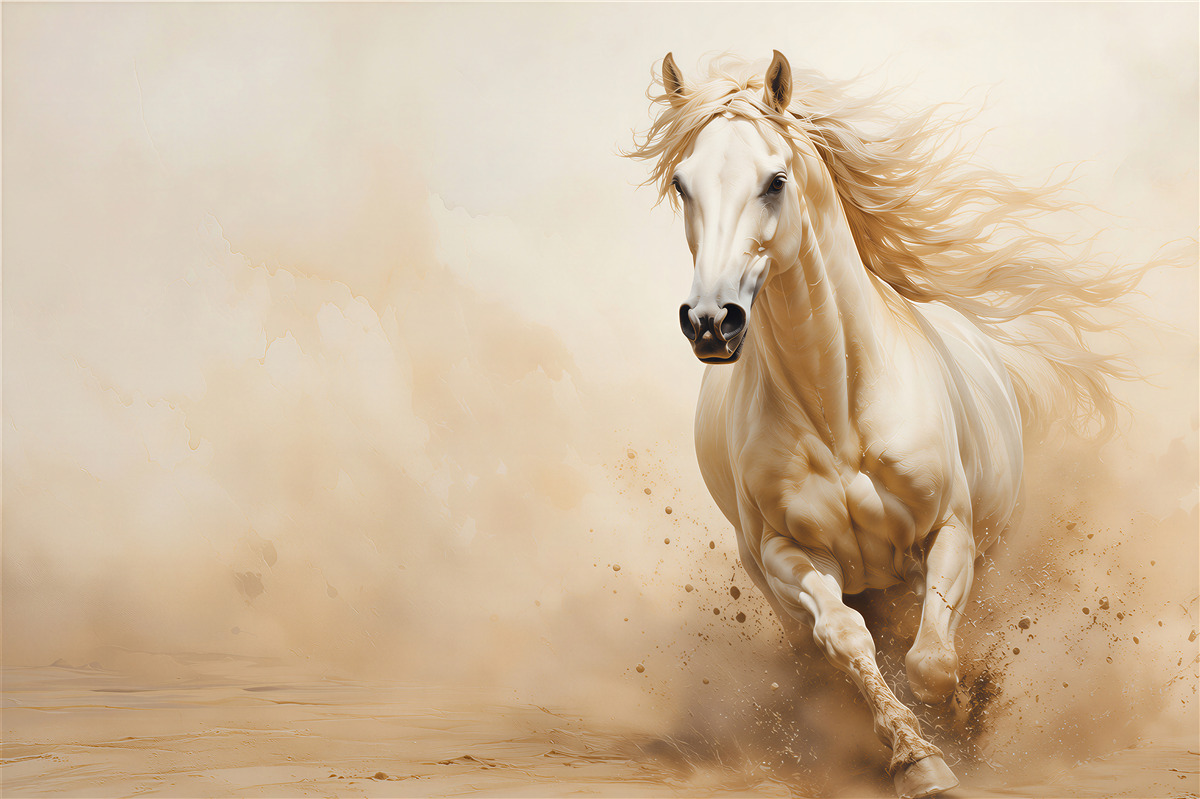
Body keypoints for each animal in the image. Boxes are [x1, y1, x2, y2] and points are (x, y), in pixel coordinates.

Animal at [627, 52, 1142, 798]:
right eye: (681, 182)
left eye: (774, 180)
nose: (711, 321)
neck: (838, 407)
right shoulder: (785, 552)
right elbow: (847, 640)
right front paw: (916, 759)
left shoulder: (950, 531)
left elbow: (931, 661)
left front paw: (958, 717)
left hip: (992, 545)